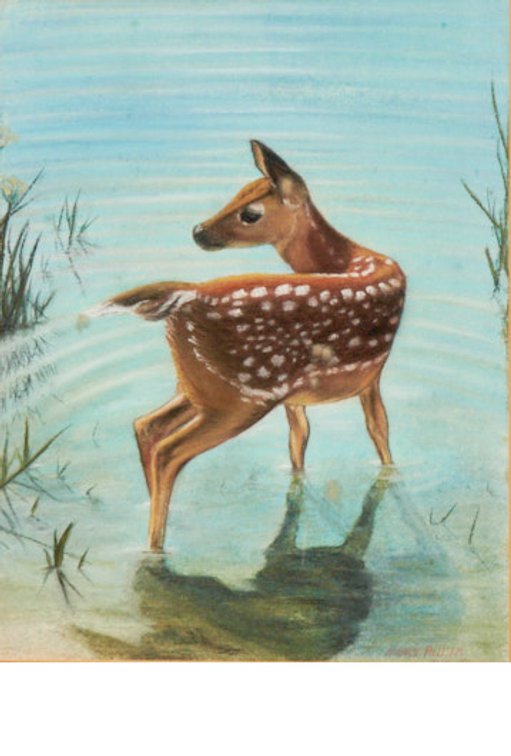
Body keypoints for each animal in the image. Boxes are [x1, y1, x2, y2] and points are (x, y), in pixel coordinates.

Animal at [192, 140, 406, 473]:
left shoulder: (371, 375)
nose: (198, 231)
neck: (345, 257)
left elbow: (377, 429)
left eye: (250, 213)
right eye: (239, 191)